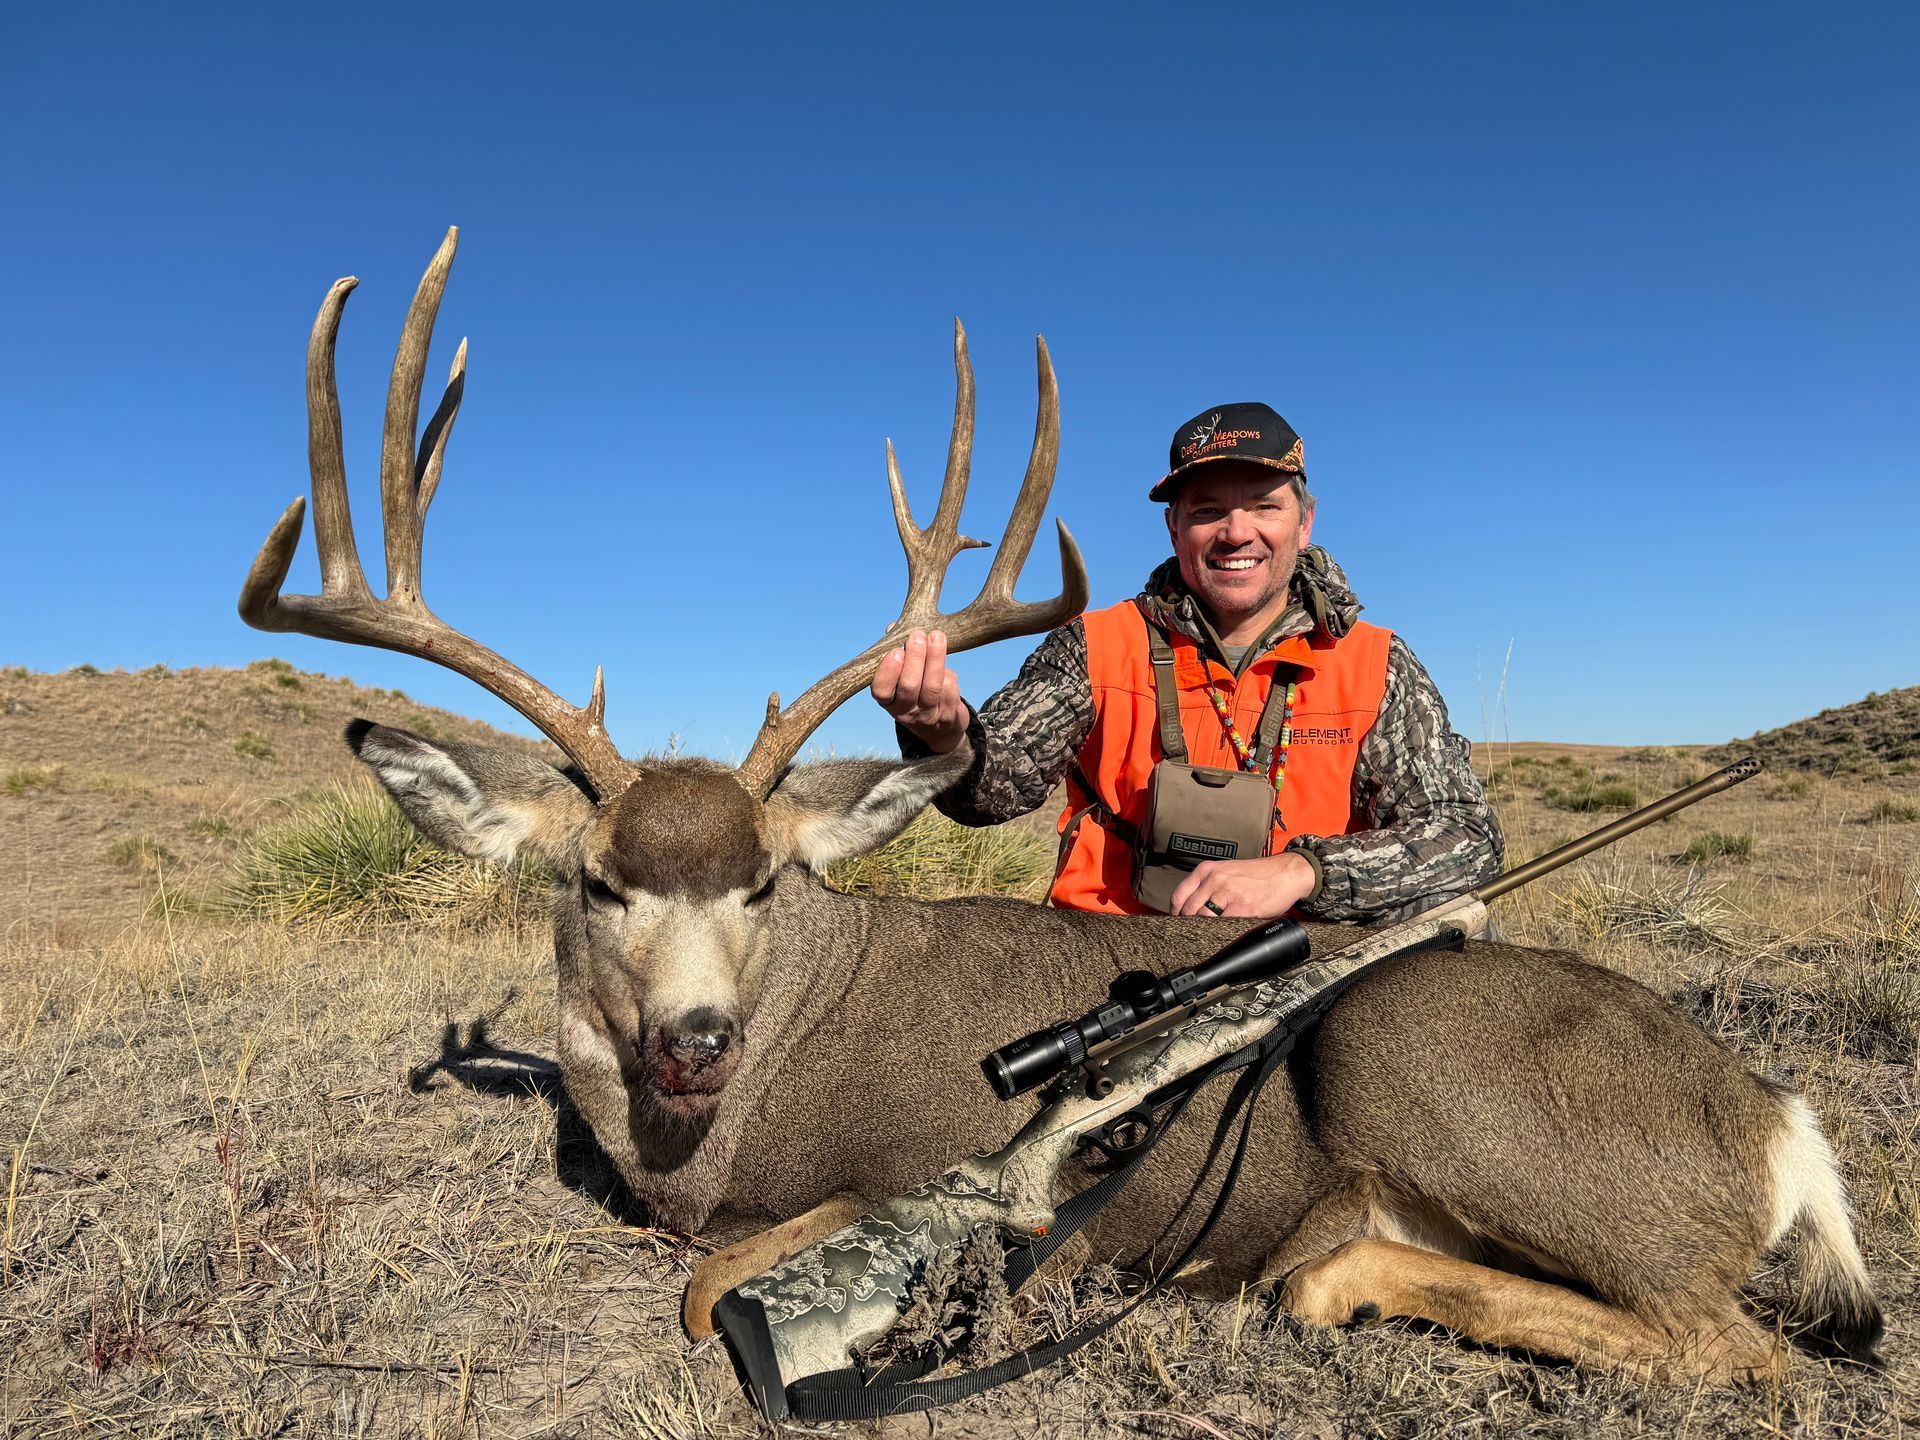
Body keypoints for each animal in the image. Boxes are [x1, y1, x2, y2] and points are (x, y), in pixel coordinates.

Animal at [240, 229, 1882, 1385]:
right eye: (595, 881)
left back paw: (1319, 1273)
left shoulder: (899, 1174)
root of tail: (1781, 1122)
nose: (696, 1038)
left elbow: (716, 1290)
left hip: (1411, 1055)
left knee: (1742, 1350)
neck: (709, 1133)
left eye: (766, 881)